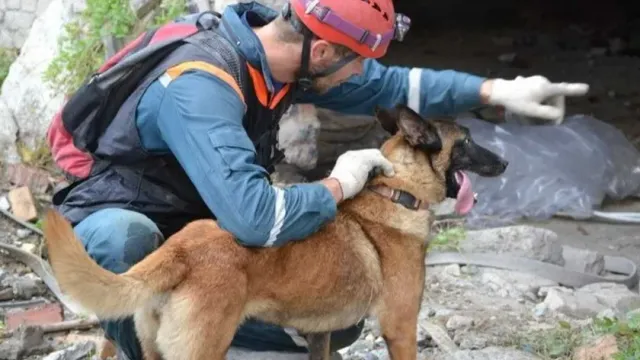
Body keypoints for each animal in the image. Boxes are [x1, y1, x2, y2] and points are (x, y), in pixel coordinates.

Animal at [42, 102, 508, 358]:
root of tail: (181, 249)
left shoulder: (318, 334)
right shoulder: (400, 326)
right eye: (467, 141)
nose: (505, 162)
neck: (397, 191)